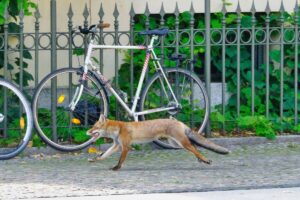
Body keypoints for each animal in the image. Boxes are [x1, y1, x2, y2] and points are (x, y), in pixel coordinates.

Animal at [86, 115, 230, 171]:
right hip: (176, 144)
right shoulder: (116, 145)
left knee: (195, 147)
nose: (87, 132)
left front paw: (116, 168)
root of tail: (178, 121)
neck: (119, 129)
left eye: (94, 127)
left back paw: (204, 160)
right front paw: (94, 159)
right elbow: (103, 155)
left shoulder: (125, 147)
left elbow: (120, 160)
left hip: (182, 143)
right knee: (195, 146)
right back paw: (201, 159)